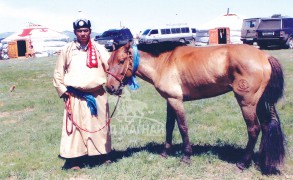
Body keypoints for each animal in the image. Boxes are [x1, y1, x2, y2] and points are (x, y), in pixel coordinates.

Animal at [105, 41, 286, 174]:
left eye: (121, 61)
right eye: (108, 62)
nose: (110, 87)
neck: (163, 62)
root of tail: (264, 56)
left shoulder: (176, 100)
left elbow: (182, 127)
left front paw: (186, 157)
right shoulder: (170, 100)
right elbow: (169, 126)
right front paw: (165, 153)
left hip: (247, 103)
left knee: (254, 129)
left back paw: (242, 163)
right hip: (259, 103)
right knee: (265, 126)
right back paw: (261, 160)